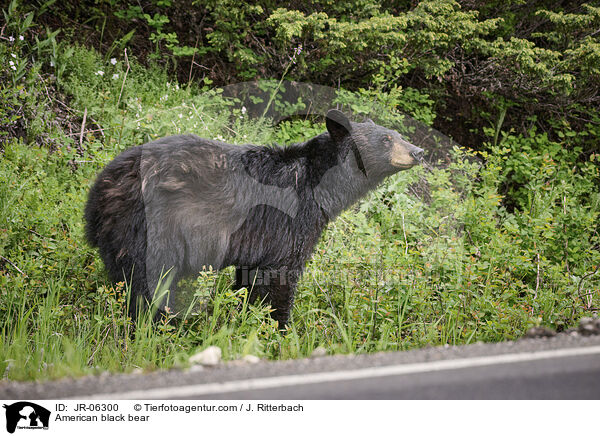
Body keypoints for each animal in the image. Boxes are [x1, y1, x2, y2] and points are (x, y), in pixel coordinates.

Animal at [83, 110, 422, 328]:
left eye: (400, 135)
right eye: (386, 139)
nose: (418, 151)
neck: (317, 183)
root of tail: (102, 188)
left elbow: (248, 281)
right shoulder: (288, 225)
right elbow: (279, 278)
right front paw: (280, 329)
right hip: (152, 228)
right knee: (148, 284)